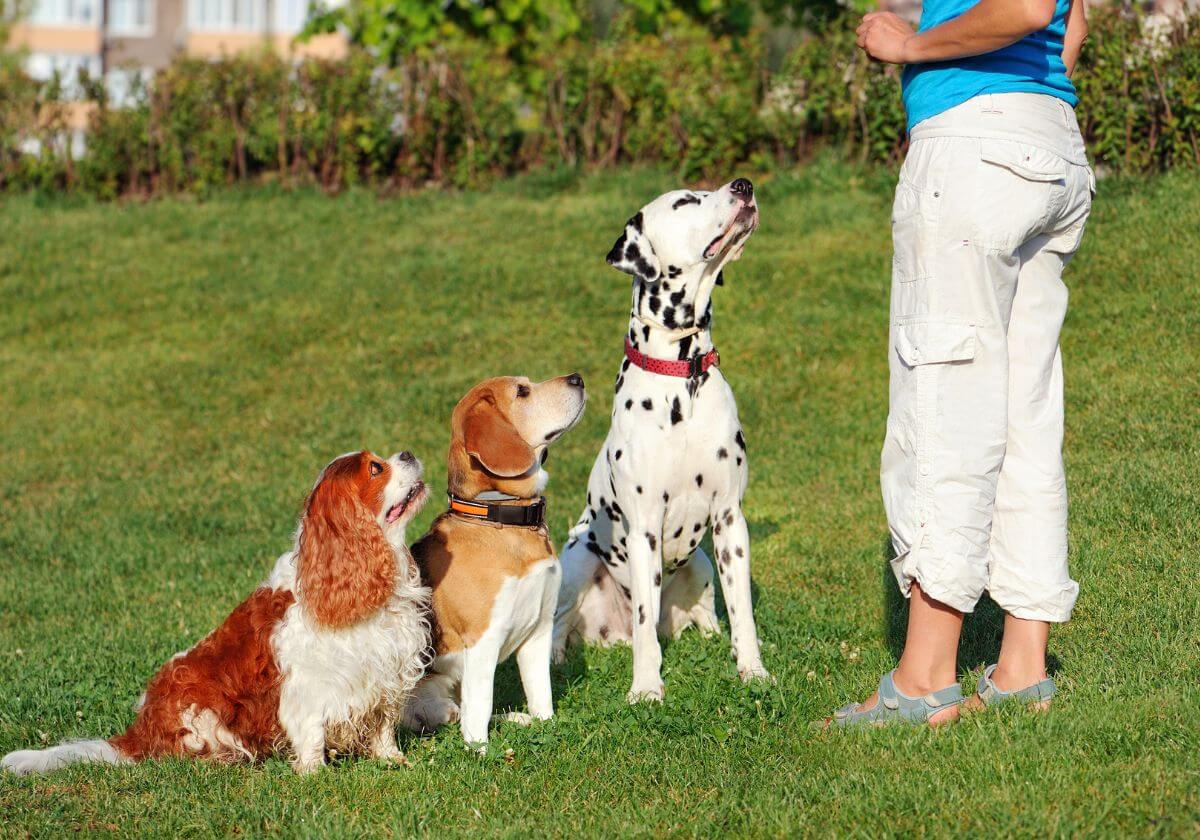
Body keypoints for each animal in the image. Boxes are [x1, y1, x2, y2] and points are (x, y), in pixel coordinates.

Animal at [552, 177, 768, 700]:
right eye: (686, 200)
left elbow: (743, 614)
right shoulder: (644, 526)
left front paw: (752, 670)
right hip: (577, 558)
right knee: (565, 628)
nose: (744, 184)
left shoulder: (730, 520)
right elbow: (646, 626)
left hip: (702, 562)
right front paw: (647, 688)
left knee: (705, 614)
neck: (680, 380)